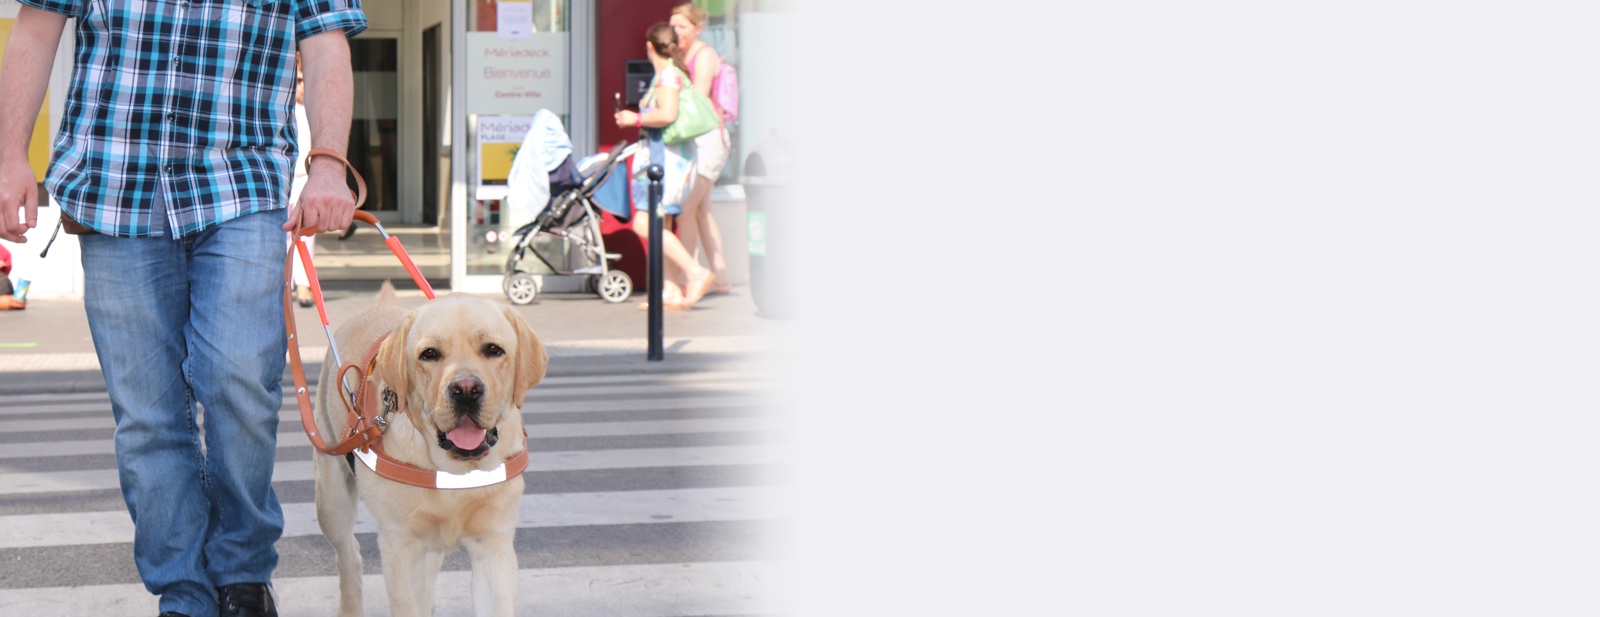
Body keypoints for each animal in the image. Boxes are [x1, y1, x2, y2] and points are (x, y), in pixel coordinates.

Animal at [308, 284, 547, 617]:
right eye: (429, 354)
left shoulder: (494, 545)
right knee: (348, 554)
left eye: (493, 349)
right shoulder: (400, 547)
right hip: (331, 499)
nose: (466, 390)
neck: (454, 469)